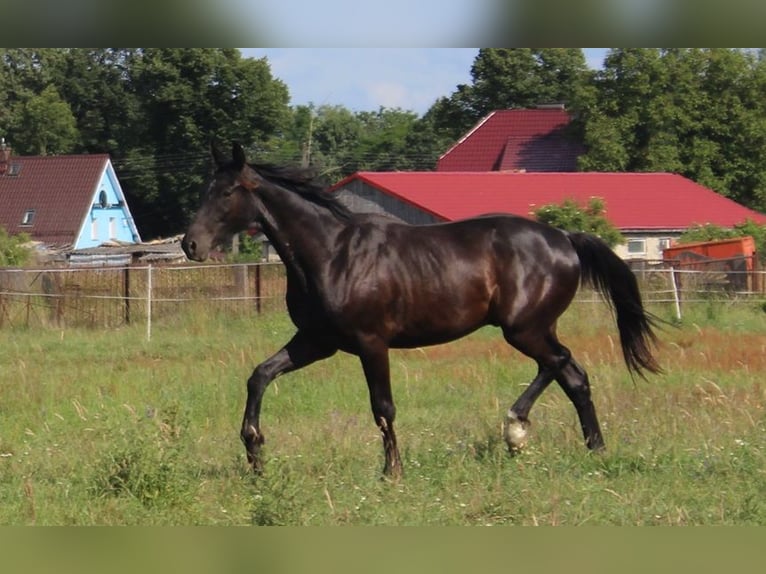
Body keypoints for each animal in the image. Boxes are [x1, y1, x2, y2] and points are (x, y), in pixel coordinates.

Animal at [182, 145, 660, 482]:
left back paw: (520, 429)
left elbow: (383, 407)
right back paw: (587, 448)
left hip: (524, 328)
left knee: (562, 366)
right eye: (204, 190)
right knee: (570, 373)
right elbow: (259, 375)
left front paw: (391, 472)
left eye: (227, 193)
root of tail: (564, 236)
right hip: (534, 328)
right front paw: (255, 452)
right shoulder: (316, 342)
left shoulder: (371, 343)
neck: (331, 254)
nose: (190, 244)